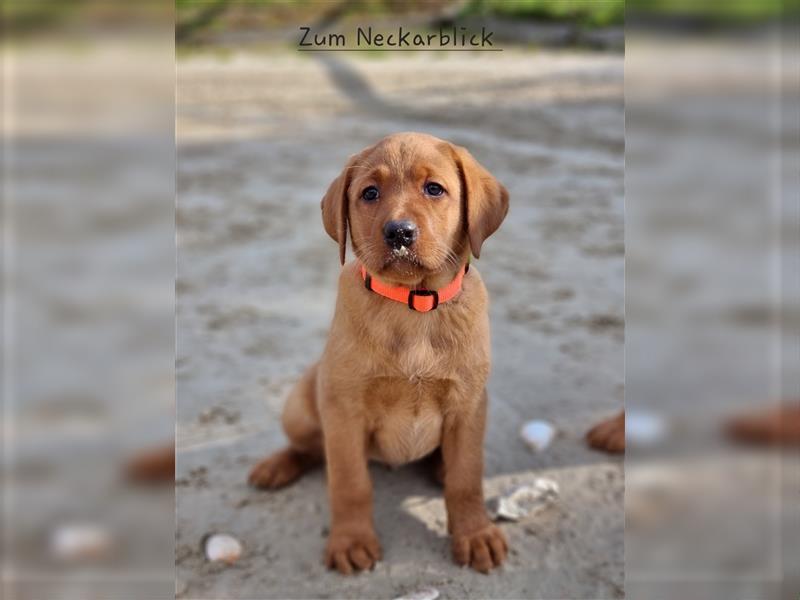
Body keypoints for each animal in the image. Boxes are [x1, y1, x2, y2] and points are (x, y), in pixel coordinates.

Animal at [250, 134, 510, 576]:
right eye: (369, 193)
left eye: (434, 189)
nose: (399, 233)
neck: (414, 305)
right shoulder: (343, 409)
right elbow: (350, 482)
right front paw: (352, 540)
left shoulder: (469, 404)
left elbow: (466, 479)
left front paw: (474, 534)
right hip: (301, 403)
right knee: (308, 448)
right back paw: (276, 466)